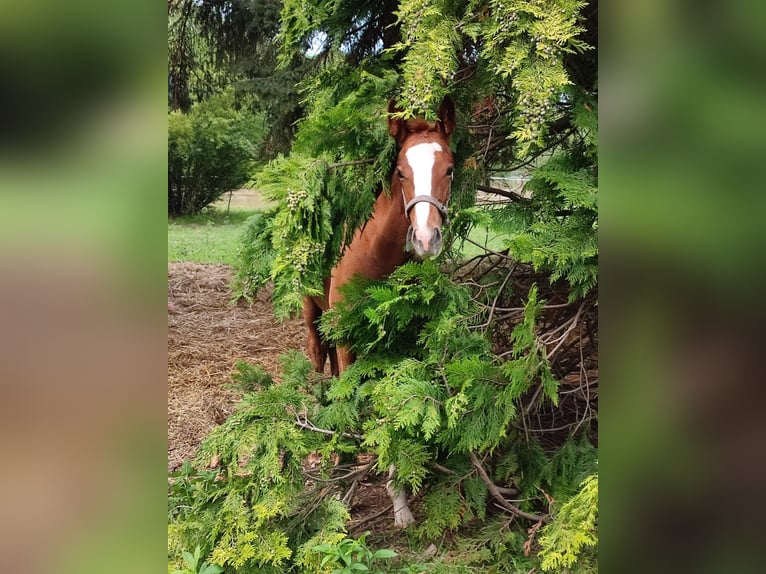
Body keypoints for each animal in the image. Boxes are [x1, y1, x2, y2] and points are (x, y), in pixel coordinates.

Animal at [300, 97, 456, 528]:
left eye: (450, 168)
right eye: (401, 171)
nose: (425, 239)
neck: (376, 256)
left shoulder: (401, 345)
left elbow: (394, 408)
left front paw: (399, 499)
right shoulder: (349, 341)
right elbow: (350, 405)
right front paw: (340, 485)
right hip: (312, 315)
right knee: (319, 366)